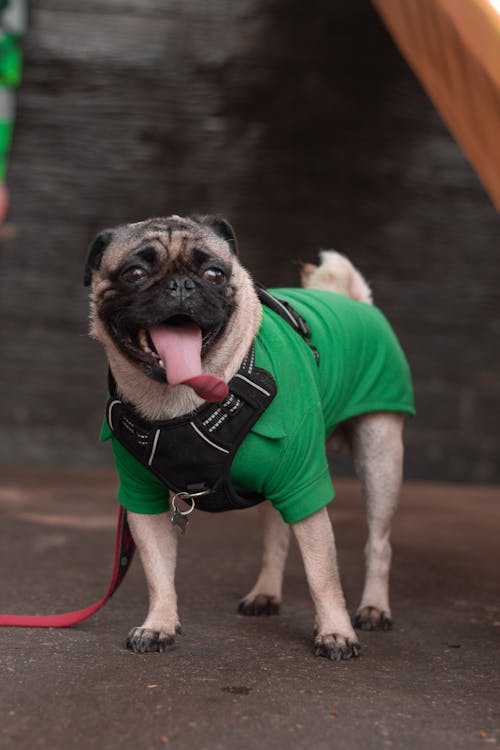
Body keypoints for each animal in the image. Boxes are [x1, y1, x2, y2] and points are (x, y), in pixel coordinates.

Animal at [85, 213, 414, 664]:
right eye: (134, 273)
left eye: (213, 274)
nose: (180, 284)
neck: (184, 401)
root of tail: (355, 300)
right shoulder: (142, 497)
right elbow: (158, 569)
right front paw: (159, 624)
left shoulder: (305, 483)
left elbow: (322, 571)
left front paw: (335, 632)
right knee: (277, 539)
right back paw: (265, 594)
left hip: (379, 460)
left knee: (378, 543)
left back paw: (374, 608)